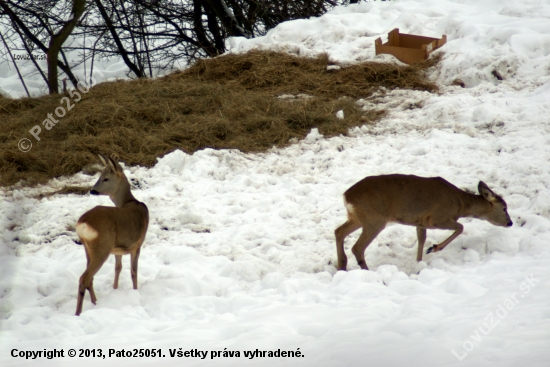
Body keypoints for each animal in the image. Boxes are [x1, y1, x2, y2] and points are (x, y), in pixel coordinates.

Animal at [75, 155, 150, 316]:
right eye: (101, 176)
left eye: (105, 178)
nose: (93, 191)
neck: (129, 202)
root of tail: (82, 224)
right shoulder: (137, 245)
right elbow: (133, 272)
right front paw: (136, 291)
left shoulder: (117, 250)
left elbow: (118, 268)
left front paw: (115, 288)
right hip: (102, 247)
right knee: (84, 278)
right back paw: (78, 313)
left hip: (88, 247)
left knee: (90, 277)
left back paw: (95, 303)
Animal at [334, 174, 516, 272]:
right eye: (504, 208)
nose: (510, 223)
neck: (460, 205)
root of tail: (346, 196)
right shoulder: (437, 218)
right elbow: (461, 227)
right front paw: (434, 248)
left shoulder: (420, 221)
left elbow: (421, 239)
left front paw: (419, 263)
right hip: (375, 219)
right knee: (357, 247)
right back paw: (367, 271)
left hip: (358, 217)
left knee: (338, 231)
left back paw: (342, 267)